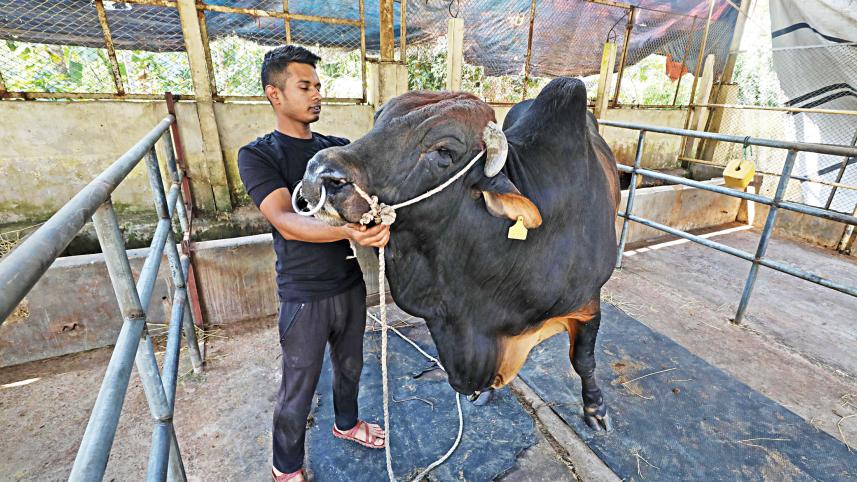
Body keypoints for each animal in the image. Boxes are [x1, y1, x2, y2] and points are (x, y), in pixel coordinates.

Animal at [300, 77, 620, 431]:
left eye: (444, 151)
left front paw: (595, 408)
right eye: (377, 121)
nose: (318, 173)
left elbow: (583, 360)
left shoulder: (588, 304)